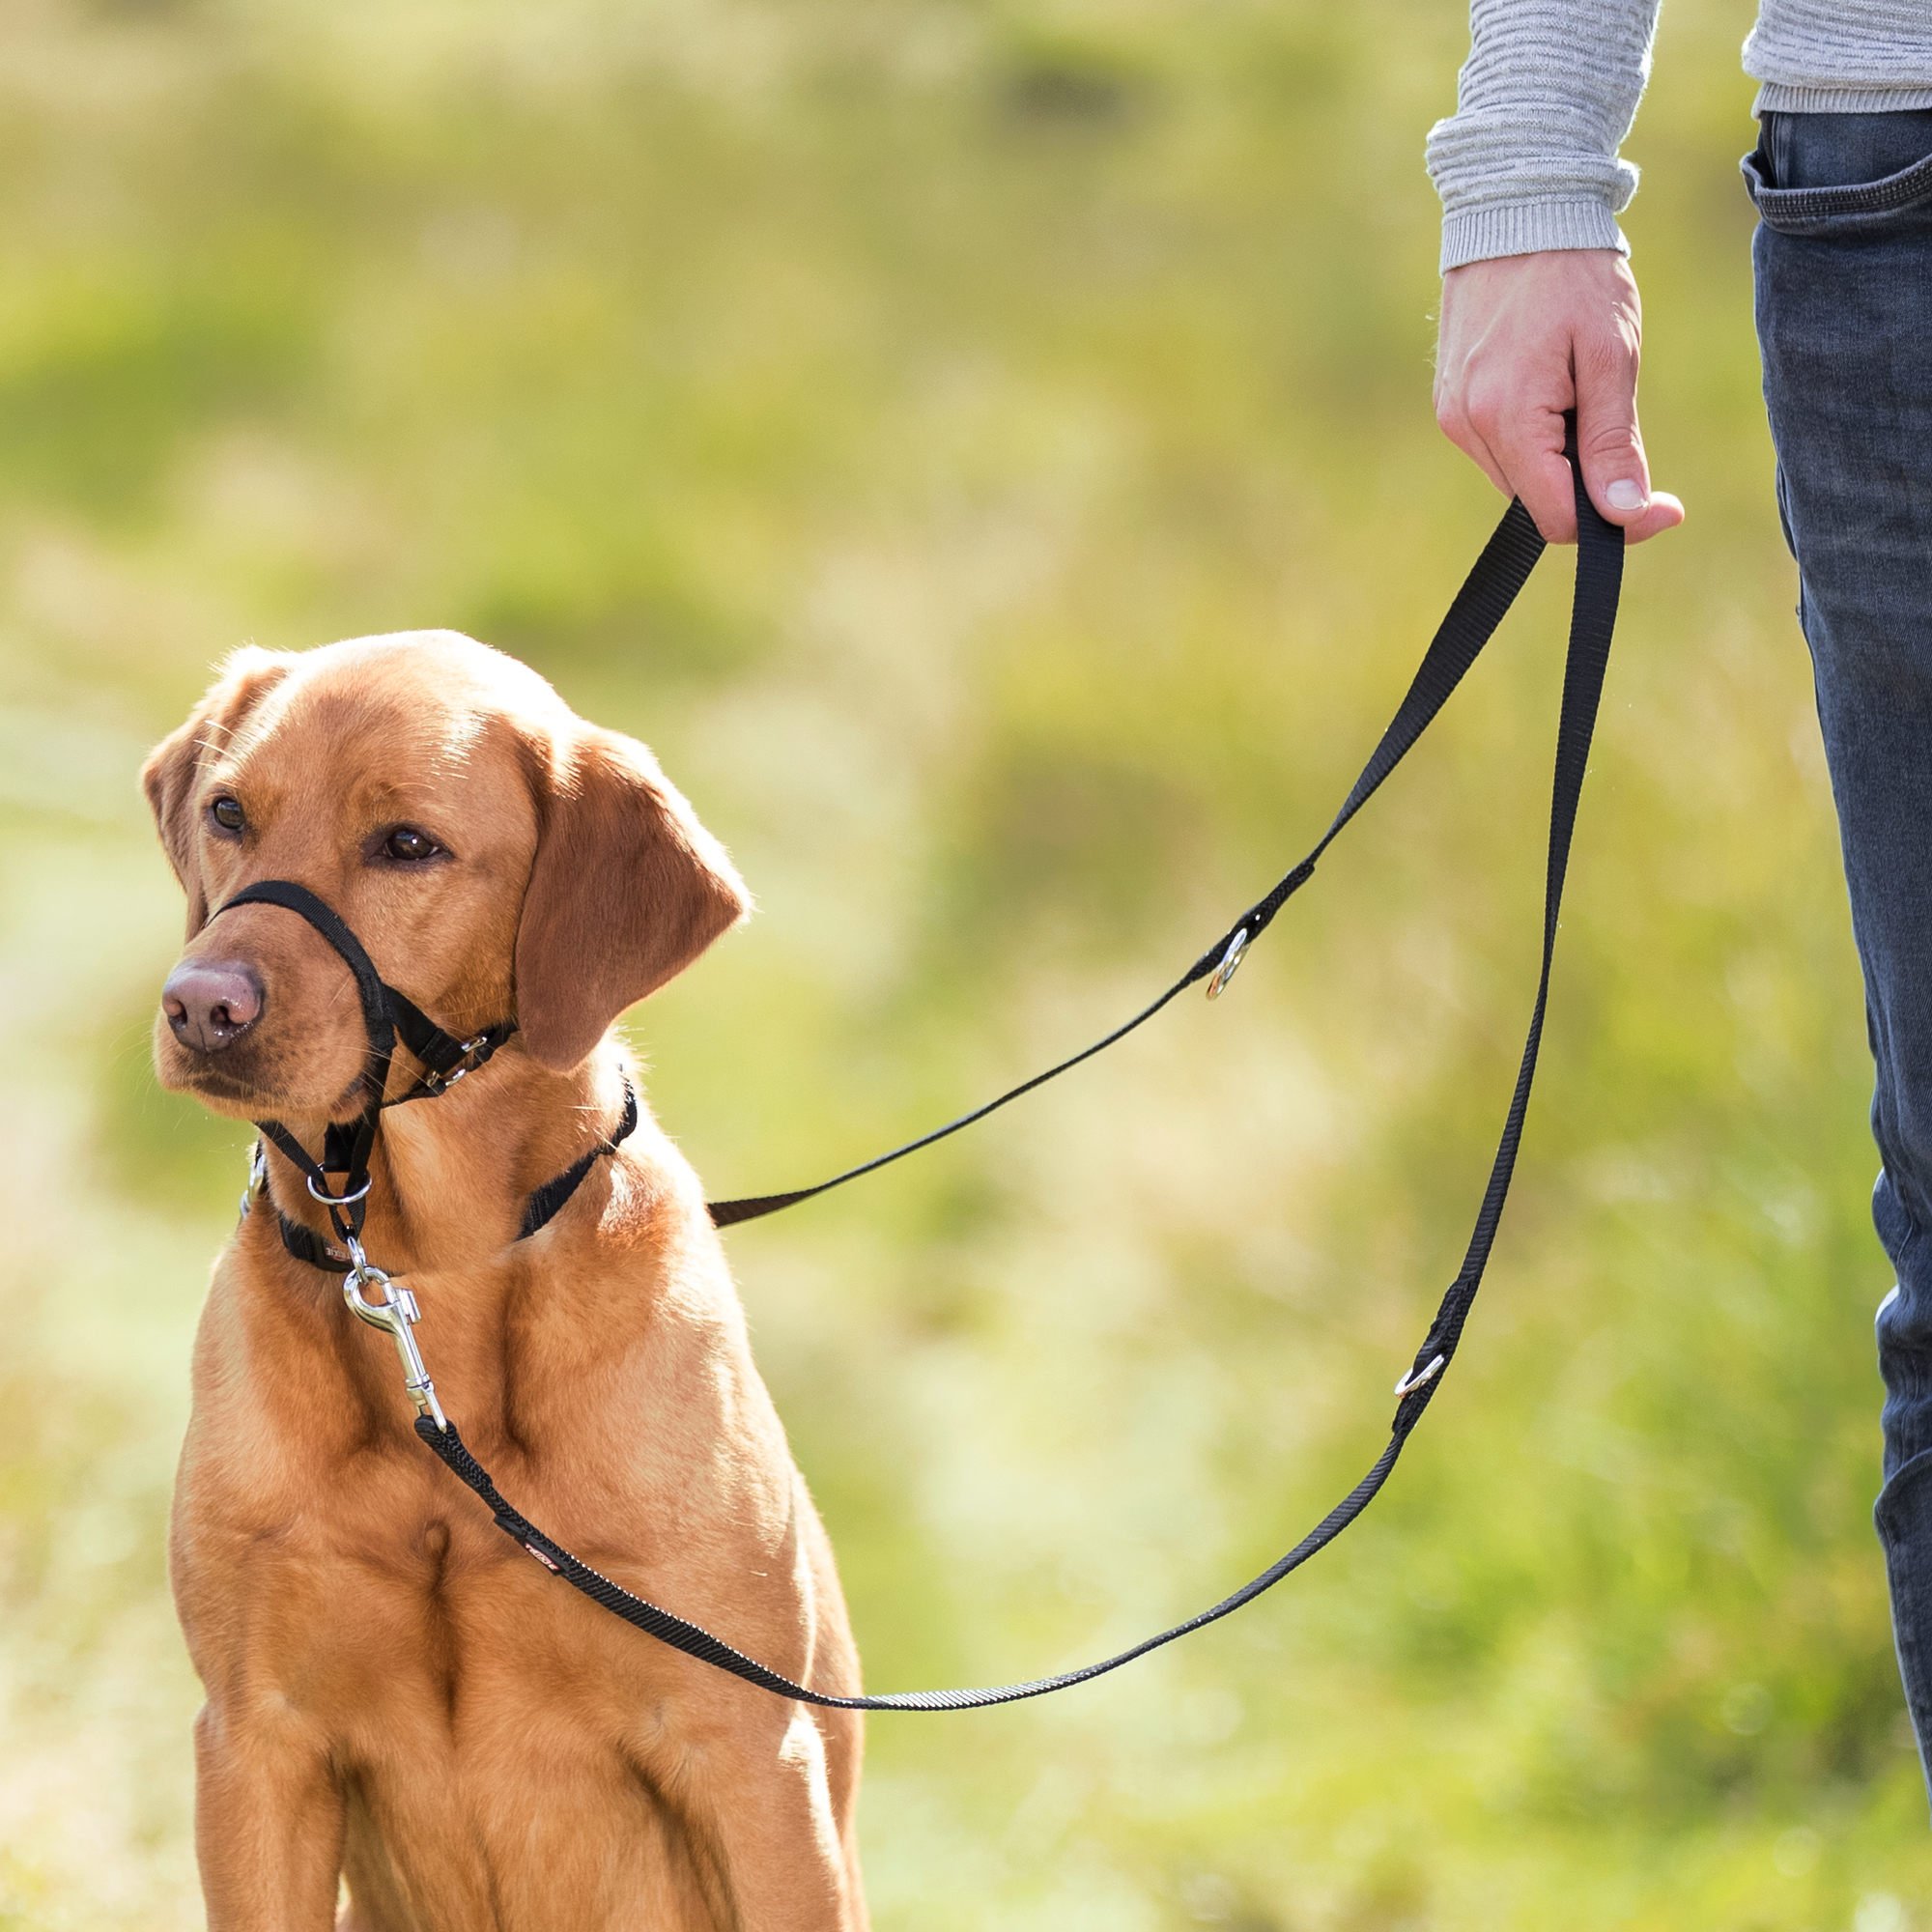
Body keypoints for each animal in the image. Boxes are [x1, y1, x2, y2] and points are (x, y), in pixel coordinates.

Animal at [147, 638, 873, 1932]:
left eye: (407, 844)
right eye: (229, 813)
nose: (199, 1005)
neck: (423, 1268)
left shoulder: (746, 1749)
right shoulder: (254, 1744)